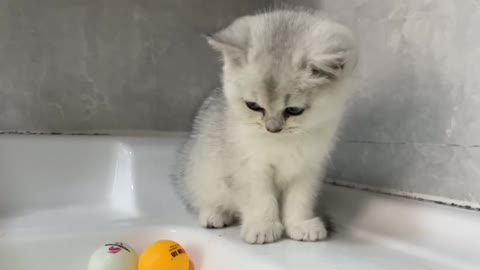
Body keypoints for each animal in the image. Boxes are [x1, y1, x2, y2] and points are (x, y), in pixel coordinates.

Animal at [173, 9, 356, 244]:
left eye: (294, 110)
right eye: (253, 106)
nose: (272, 129)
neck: (282, 143)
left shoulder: (308, 168)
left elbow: (300, 199)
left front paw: (300, 224)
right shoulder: (248, 167)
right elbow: (260, 198)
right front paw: (263, 225)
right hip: (198, 175)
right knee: (201, 199)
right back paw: (215, 214)